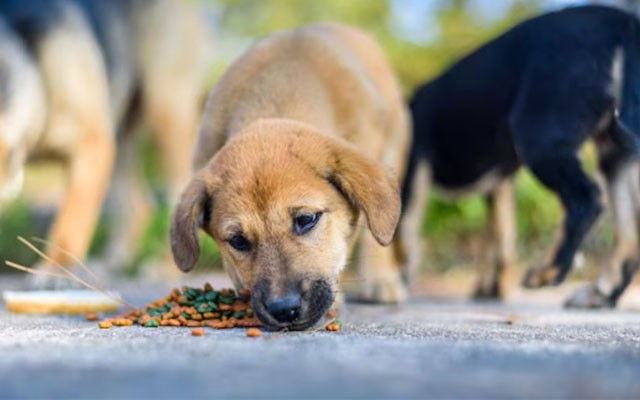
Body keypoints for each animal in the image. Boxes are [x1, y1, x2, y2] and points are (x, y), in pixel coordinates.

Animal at [0, 0, 208, 284]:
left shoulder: (93, 145)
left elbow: (70, 219)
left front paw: (57, 267)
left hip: (165, 109)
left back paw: (168, 267)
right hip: (120, 136)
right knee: (138, 206)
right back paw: (112, 264)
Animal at [402, 4, 640, 308]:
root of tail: (622, 21)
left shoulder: (414, 166)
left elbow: (404, 229)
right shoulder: (499, 185)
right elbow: (499, 239)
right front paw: (489, 290)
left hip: (540, 138)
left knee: (586, 199)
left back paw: (547, 270)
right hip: (616, 153)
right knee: (629, 234)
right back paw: (600, 294)